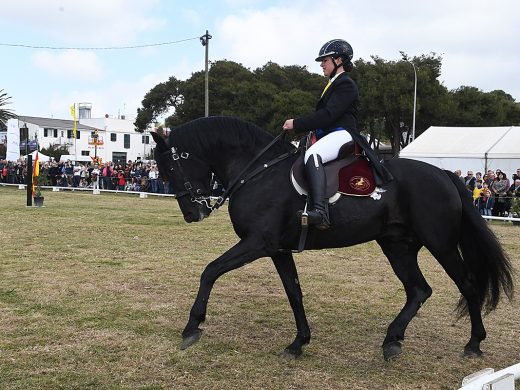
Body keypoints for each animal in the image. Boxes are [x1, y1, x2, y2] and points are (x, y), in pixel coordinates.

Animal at [149, 116, 512, 360]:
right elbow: (294, 293)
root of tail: (444, 174)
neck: (258, 171)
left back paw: (473, 344)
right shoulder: (278, 250)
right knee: (418, 290)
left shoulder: (257, 243)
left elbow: (210, 271)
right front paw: (298, 343)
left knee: (467, 285)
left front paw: (192, 327)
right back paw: (392, 340)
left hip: (442, 245)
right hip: (397, 246)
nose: (192, 213)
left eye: (171, 167)